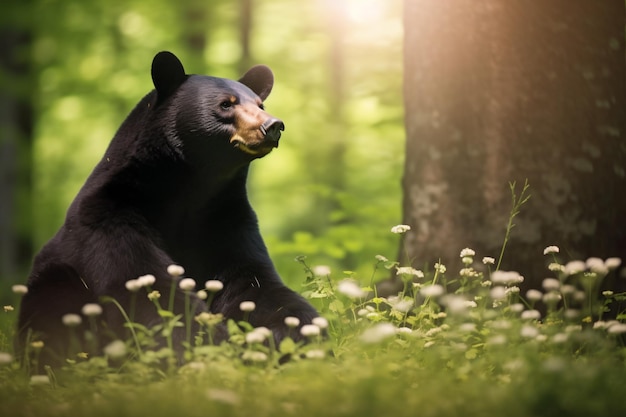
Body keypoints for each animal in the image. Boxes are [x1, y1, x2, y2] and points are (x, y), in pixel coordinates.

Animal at [17, 52, 320, 368]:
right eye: (226, 104)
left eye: (261, 105)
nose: (273, 125)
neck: (188, 190)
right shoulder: (110, 217)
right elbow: (152, 289)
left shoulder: (226, 219)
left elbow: (253, 283)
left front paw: (296, 333)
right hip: (54, 285)